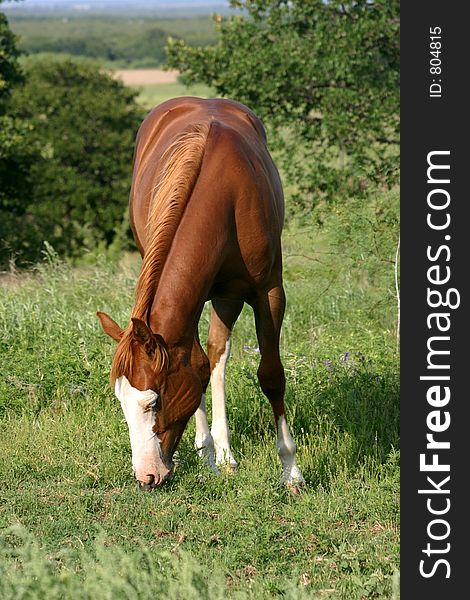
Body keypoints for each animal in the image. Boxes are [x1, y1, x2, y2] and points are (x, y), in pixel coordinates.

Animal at [98, 96, 304, 490]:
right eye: (121, 402)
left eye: (154, 402)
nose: (146, 476)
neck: (224, 196)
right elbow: (196, 366)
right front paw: (205, 453)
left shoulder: (268, 291)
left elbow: (270, 376)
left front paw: (291, 471)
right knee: (207, 360)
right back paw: (213, 453)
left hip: (228, 295)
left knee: (216, 356)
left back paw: (223, 453)